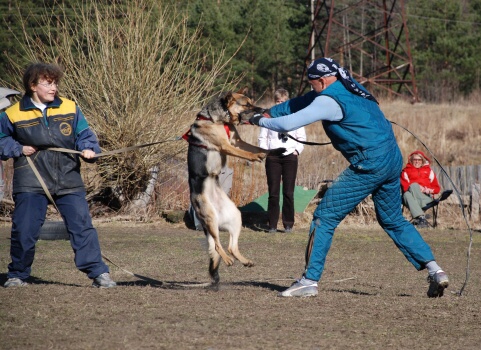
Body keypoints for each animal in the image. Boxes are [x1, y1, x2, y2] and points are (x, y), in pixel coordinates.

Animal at [183, 89, 282, 284]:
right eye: (247, 104)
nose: (262, 110)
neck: (221, 119)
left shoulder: (236, 141)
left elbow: (256, 148)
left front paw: (274, 151)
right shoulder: (226, 145)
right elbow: (246, 153)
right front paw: (257, 156)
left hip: (236, 218)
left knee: (230, 247)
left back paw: (245, 261)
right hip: (210, 218)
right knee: (218, 245)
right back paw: (228, 260)